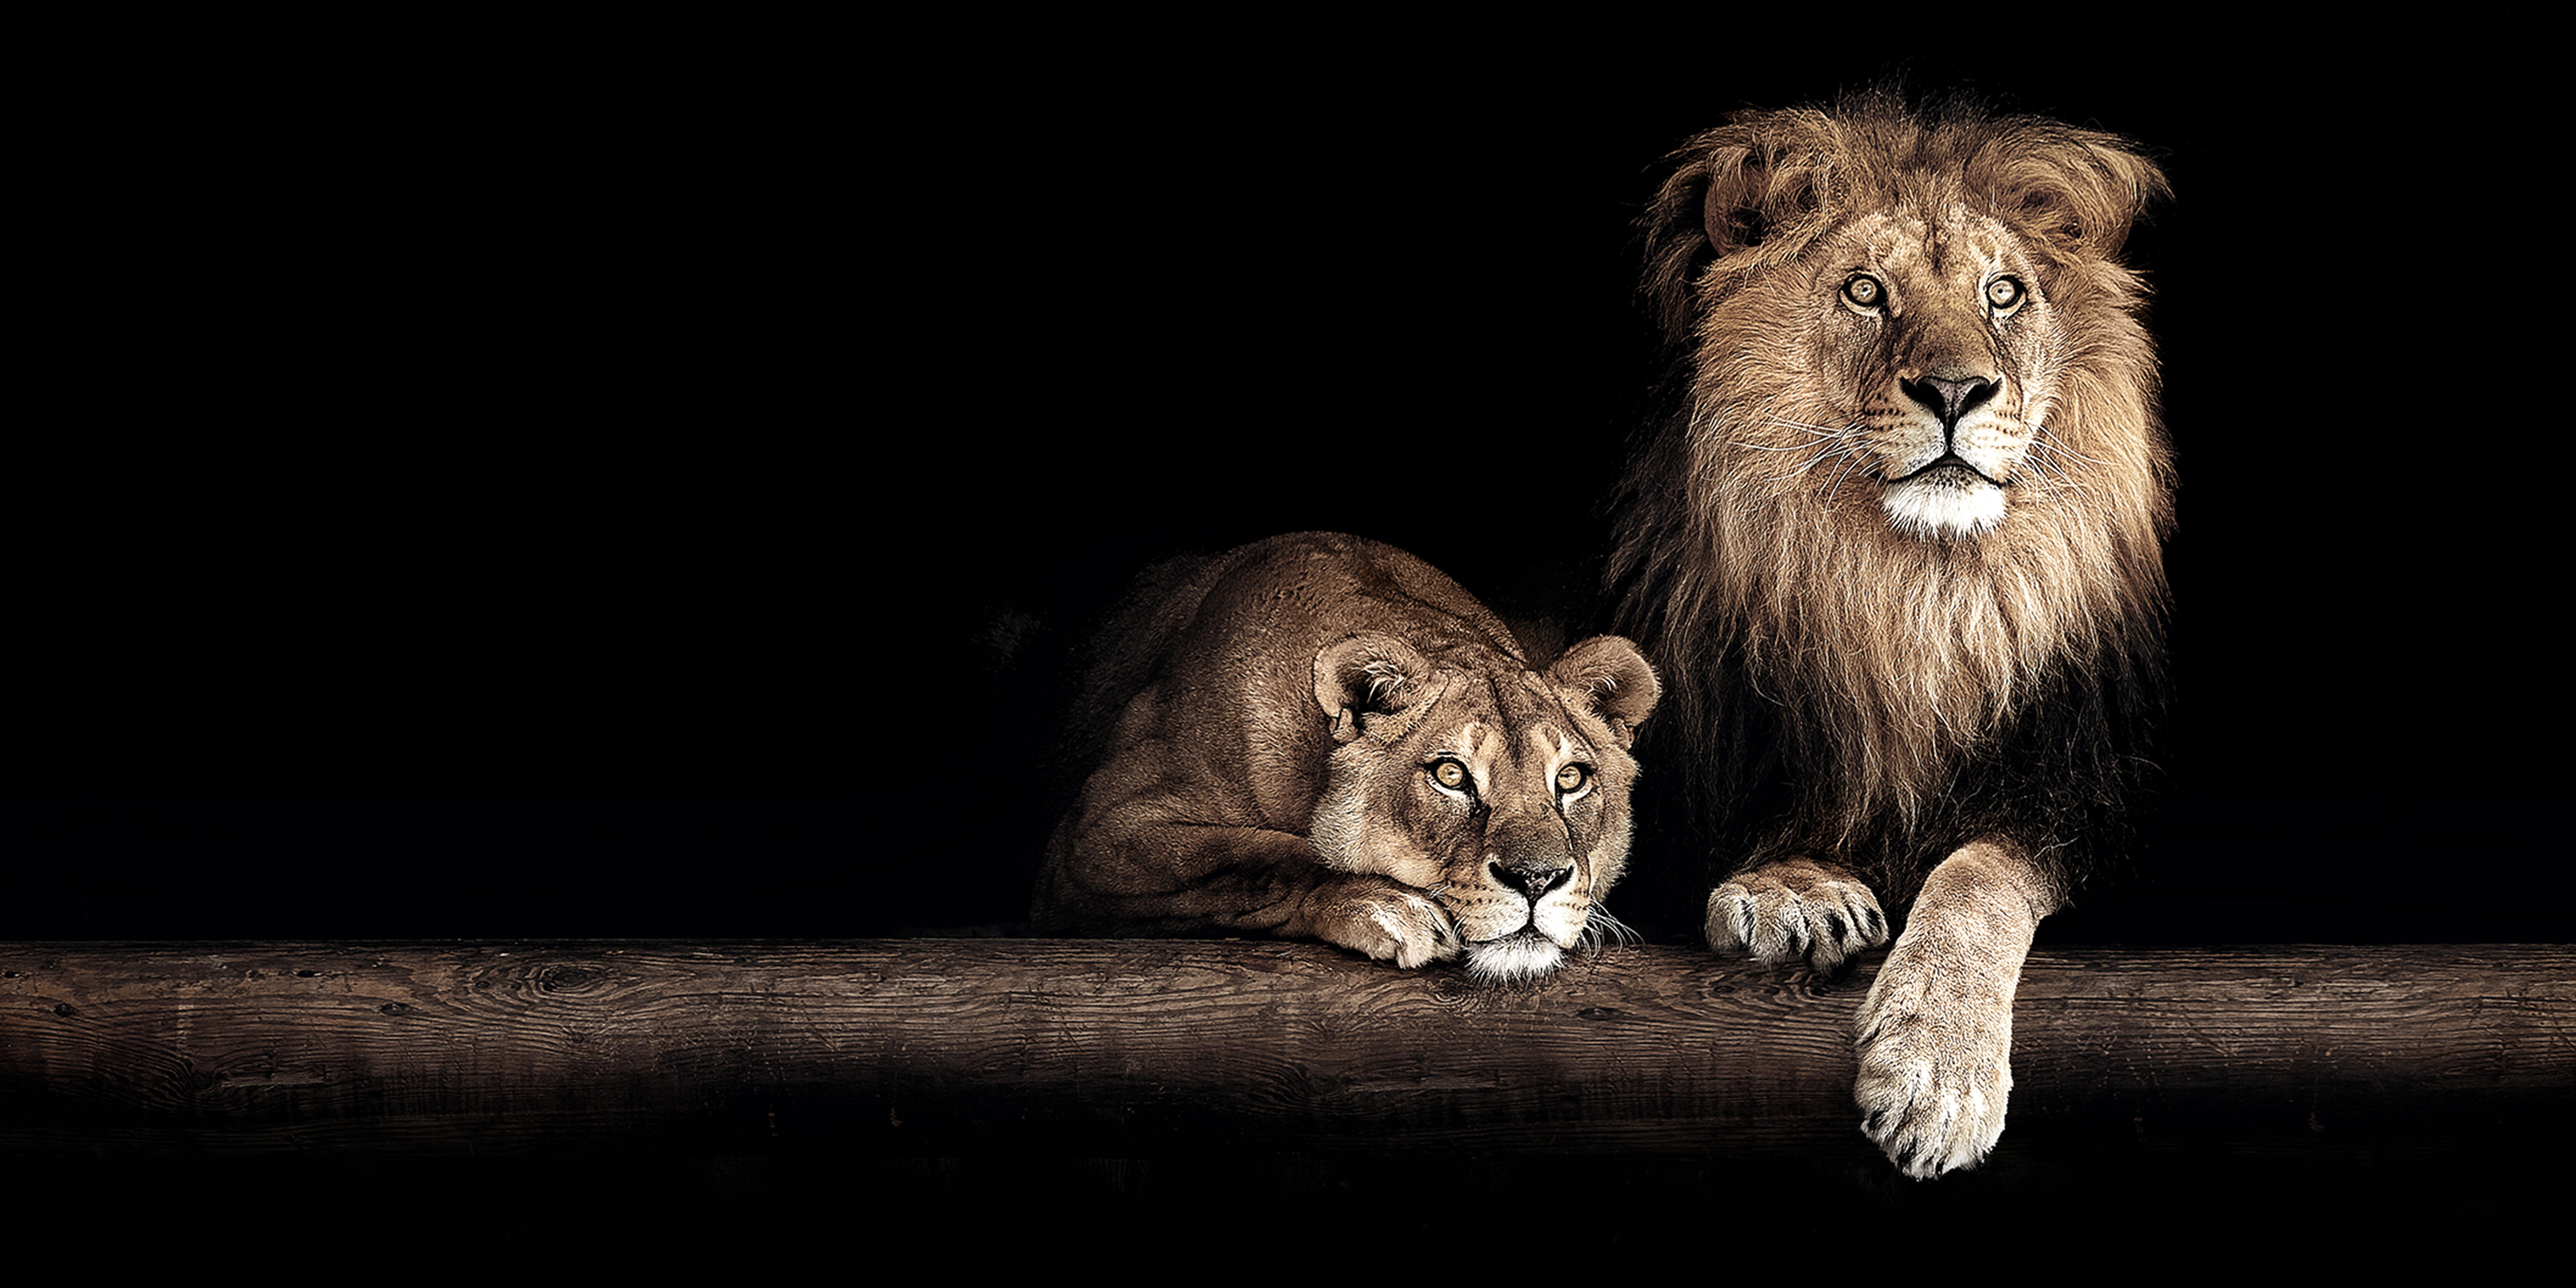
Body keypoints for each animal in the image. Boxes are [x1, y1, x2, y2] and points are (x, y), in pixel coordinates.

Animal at [1035, 532, 1660, 983]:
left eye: (1571, 779)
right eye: (1450, 775)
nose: (1536, 880)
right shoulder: (1096, 834)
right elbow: (1262, 858)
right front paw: (1388, 904)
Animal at [1608, 92, 2173, 1177]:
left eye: (2003, 293)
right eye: (1865, 292)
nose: (1954, 391)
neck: (1912, 596)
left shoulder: (2080, 798)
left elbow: (1977, 877)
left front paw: (1934, 1077)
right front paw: (1791, 888)